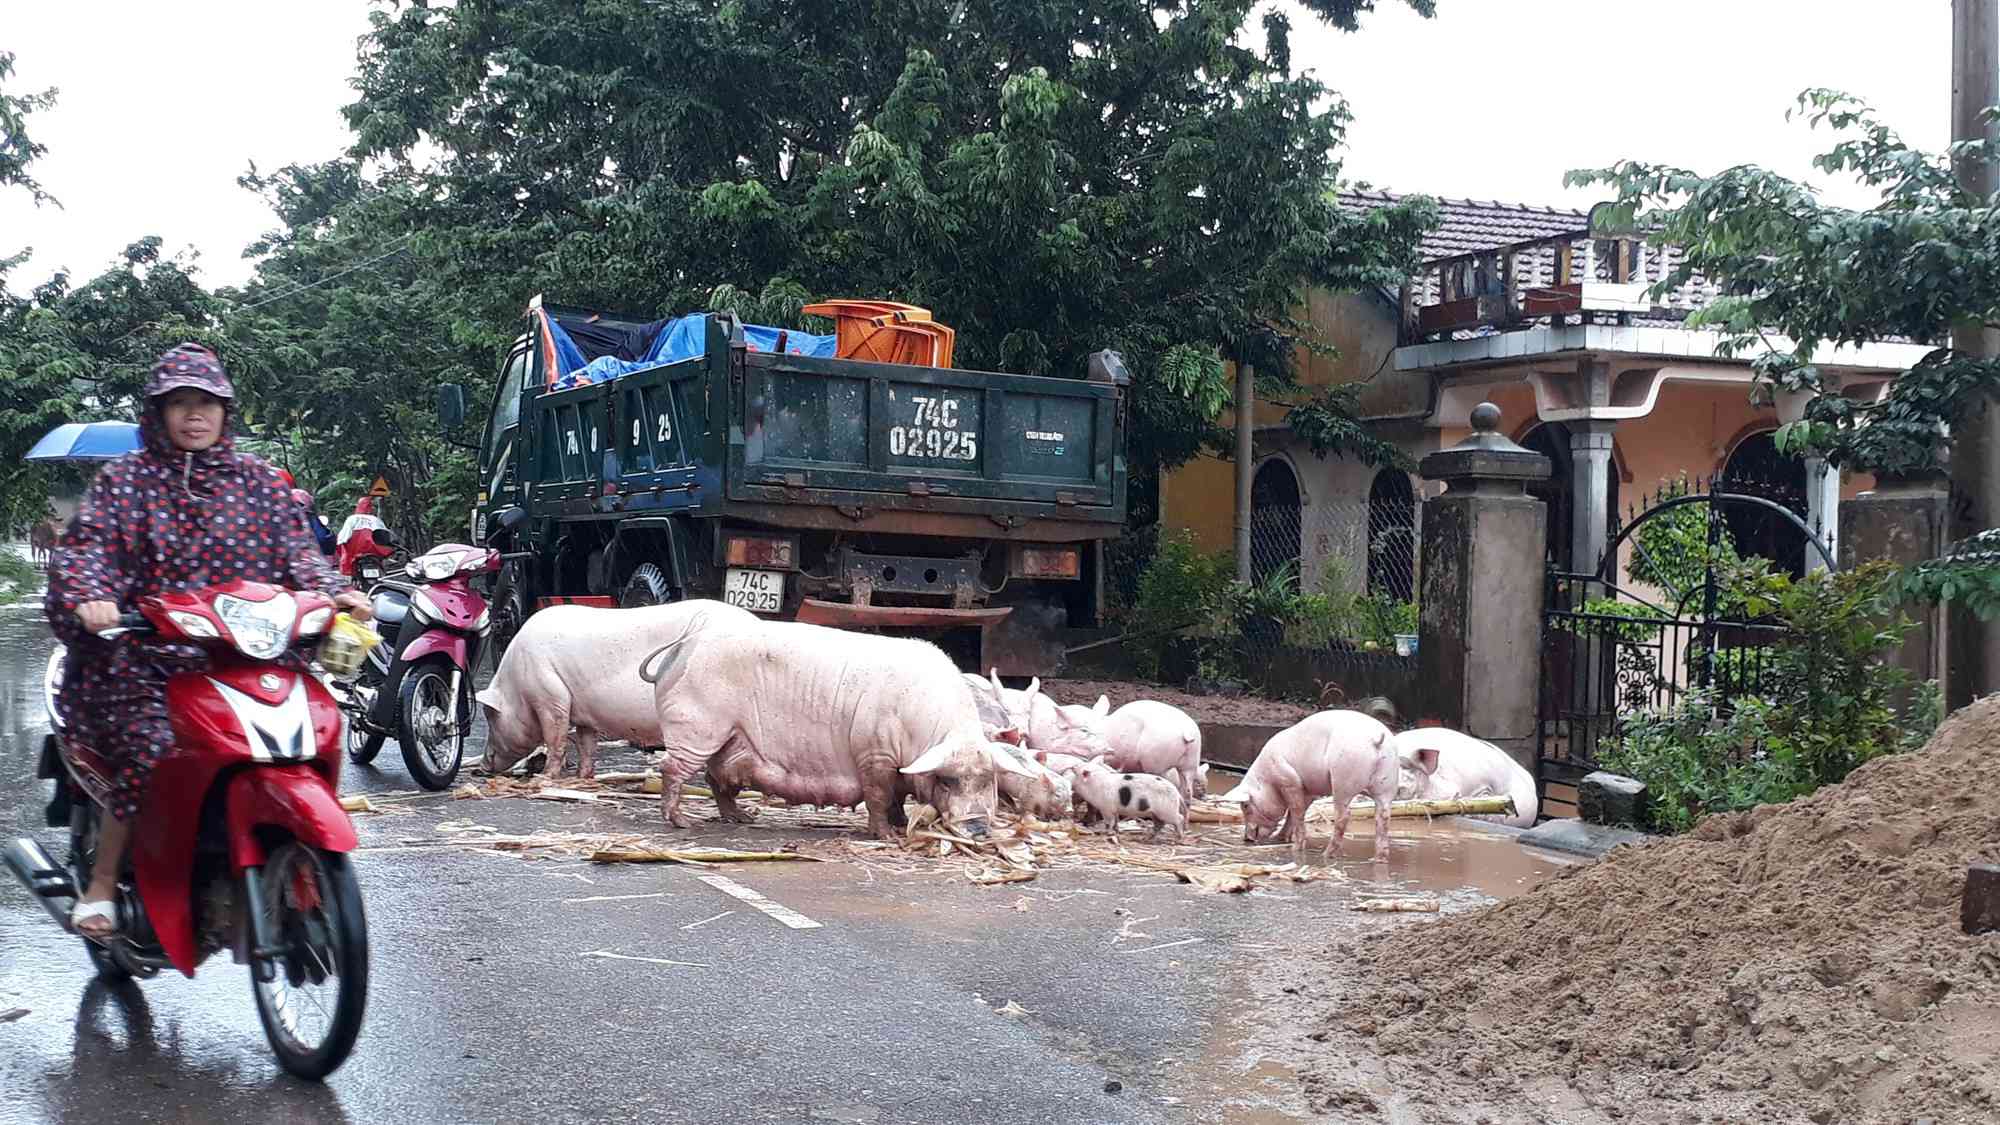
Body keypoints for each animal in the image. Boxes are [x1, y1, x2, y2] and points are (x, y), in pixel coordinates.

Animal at [476, 600, 756, 776]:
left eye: (491, 716)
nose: (482, 767)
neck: (515, 686)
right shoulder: (583, 711)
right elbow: (586, 744)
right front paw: (583, 777)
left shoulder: (550, 696)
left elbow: (555, 737)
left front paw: (544, 777)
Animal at [640, 616, 1032, 836]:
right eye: (948, 781)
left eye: (989, 779)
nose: (978, 829)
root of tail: (679, 651)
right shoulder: (873, 753)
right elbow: (878, 795)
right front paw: (887, 836)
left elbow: (897, 797)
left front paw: (901, 826)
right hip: (696, 727)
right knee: (672, 769)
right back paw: (682, 822)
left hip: (730, 739)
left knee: (716, 778)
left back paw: (743, 818)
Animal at [1208, 708, 1400, 856]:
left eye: (1246, 806)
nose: (1247, 839)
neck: (1267, 780)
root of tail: (1376, 739)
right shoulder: (1308, 790)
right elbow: (1293, 815)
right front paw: (1278, 839)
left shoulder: (1289, 780)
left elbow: (1296, 812)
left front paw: (1295, 847)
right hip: (1387, 781)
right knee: (1383, 816)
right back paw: (1380, 857)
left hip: (1344, 778)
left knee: (1343, 816)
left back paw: (1327, 854)